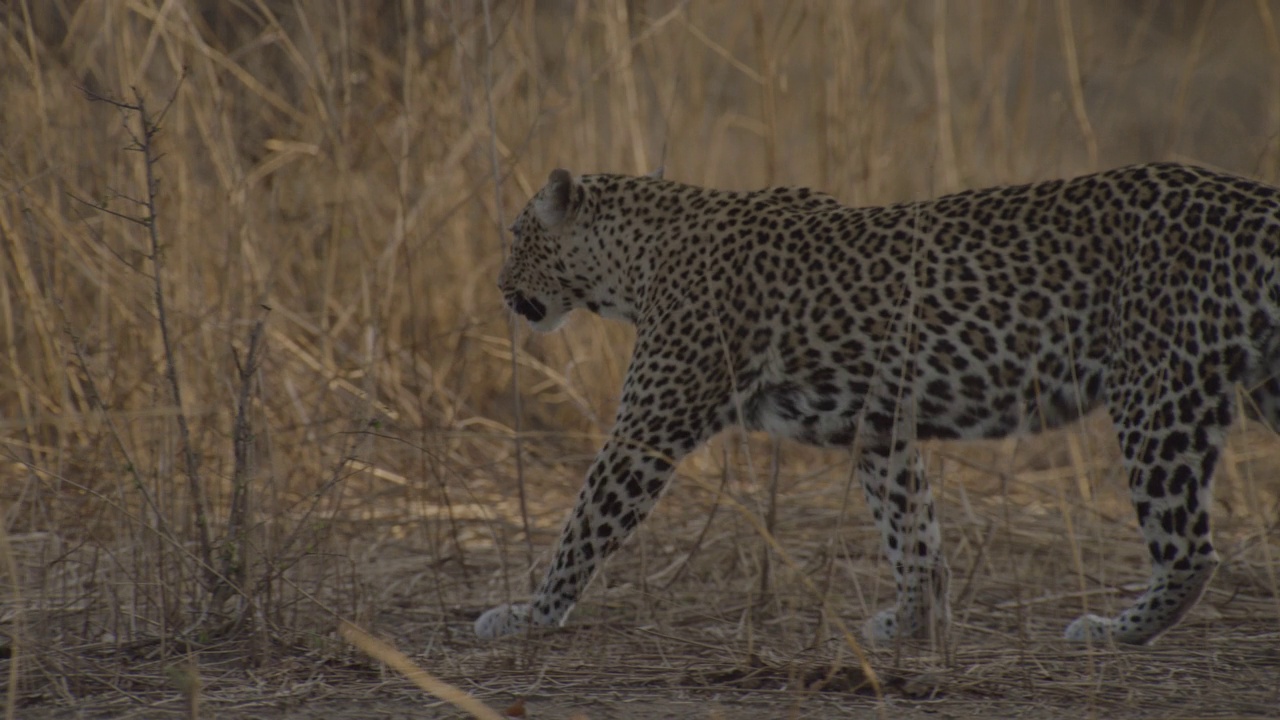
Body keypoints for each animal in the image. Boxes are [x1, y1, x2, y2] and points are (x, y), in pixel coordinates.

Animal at [473, 162, 1280, 645]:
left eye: (516, 233)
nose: (500, 288)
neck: (636, 261)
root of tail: (1247, 198)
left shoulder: (647, 431)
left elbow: (583, 527)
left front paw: (527, 615)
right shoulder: (880, 427)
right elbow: (911, 528)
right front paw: (914, 622)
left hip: (1156, 391)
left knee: (1190, 549)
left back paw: (1117, 630)